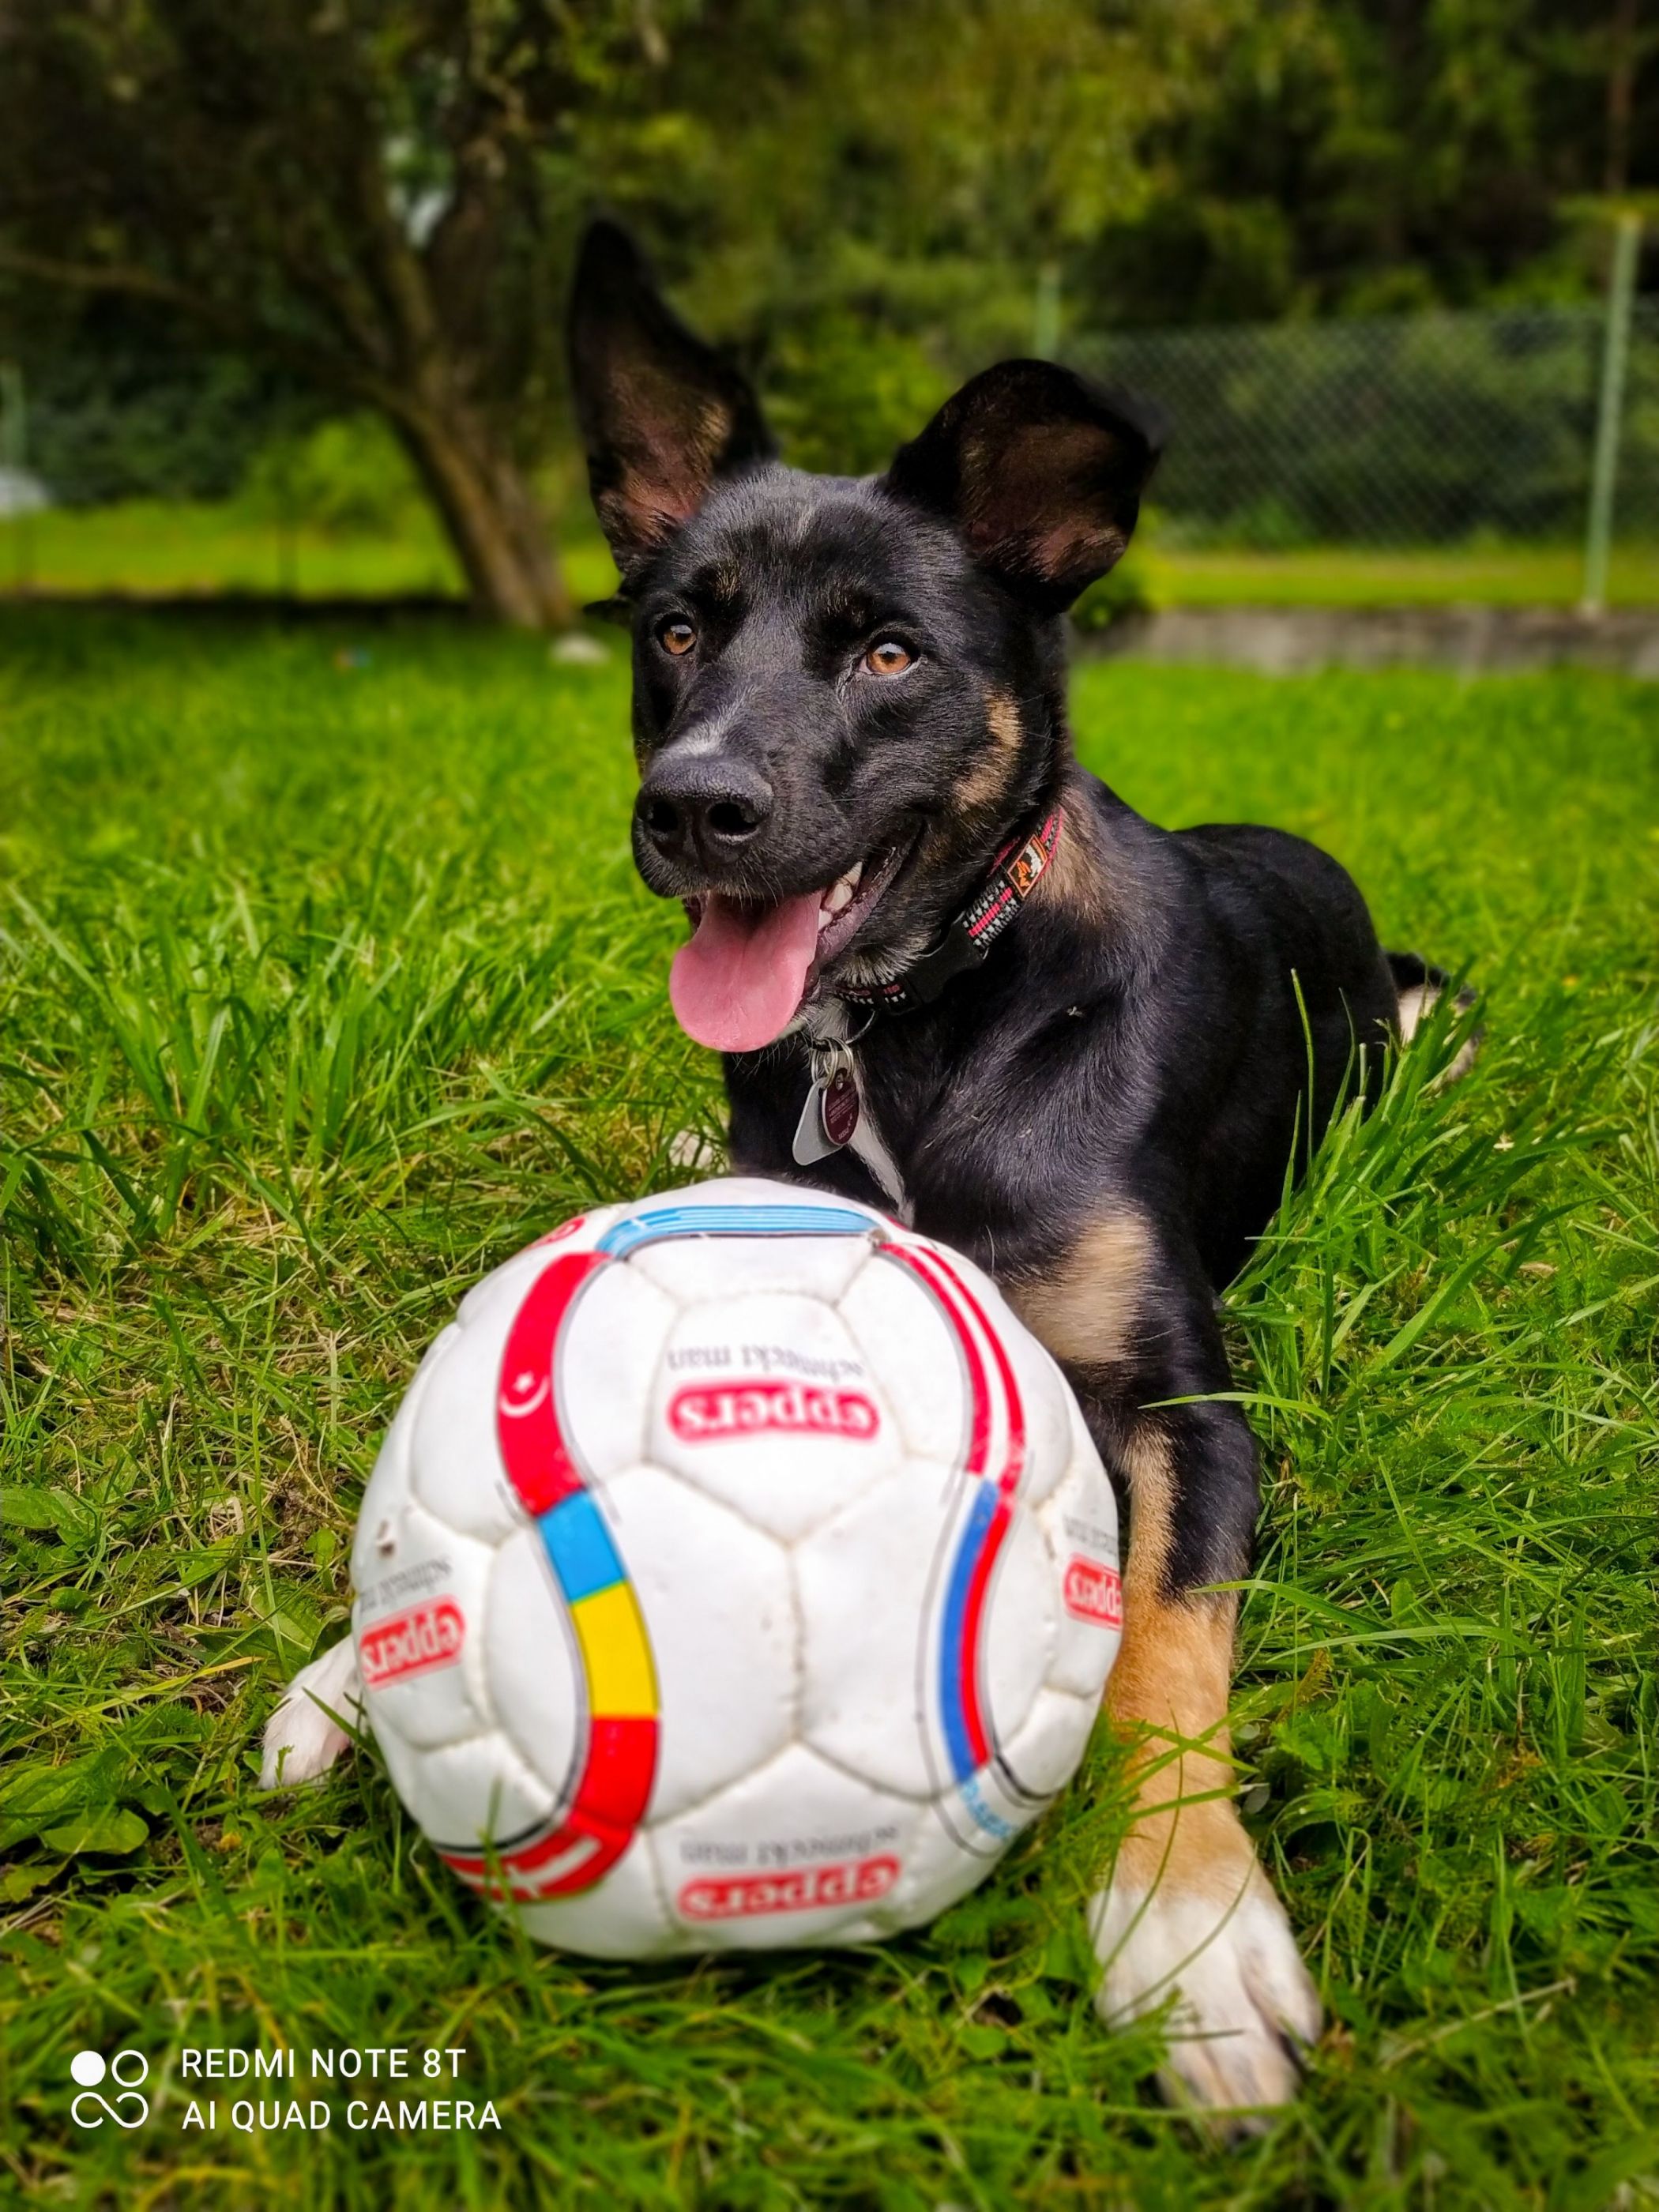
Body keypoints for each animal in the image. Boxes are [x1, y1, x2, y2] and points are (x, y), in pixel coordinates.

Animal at [570, 224, 1469, 2105]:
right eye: (676, 627)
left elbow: (1165, 1654)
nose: (690, 807)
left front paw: (1191, 1920)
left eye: (891, 655)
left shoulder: (1185, 1400)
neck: (924, 1020)